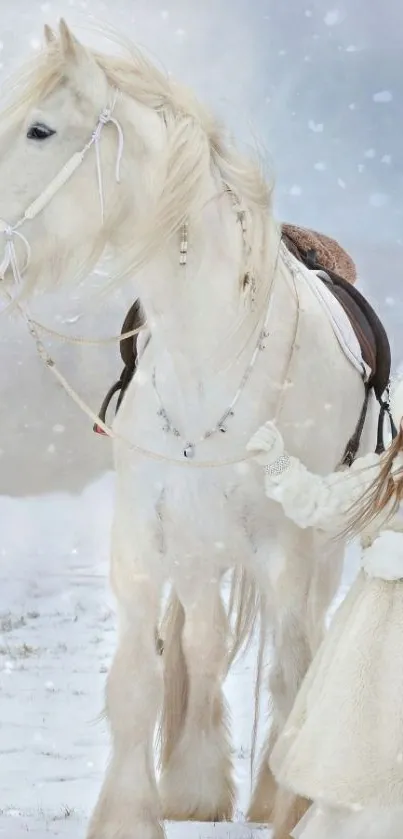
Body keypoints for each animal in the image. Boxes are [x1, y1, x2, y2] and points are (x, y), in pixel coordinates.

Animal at [0, 19, 378, 839]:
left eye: (40, 129)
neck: (212, 356)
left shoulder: (285, 547)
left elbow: (290, 671)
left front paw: (286, 808)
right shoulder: (141, 539)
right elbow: (138, 682)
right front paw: (130, 814)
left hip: (315, 552)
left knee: (294, 647)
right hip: (202, 552)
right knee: (202, 649)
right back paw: (197, 785)